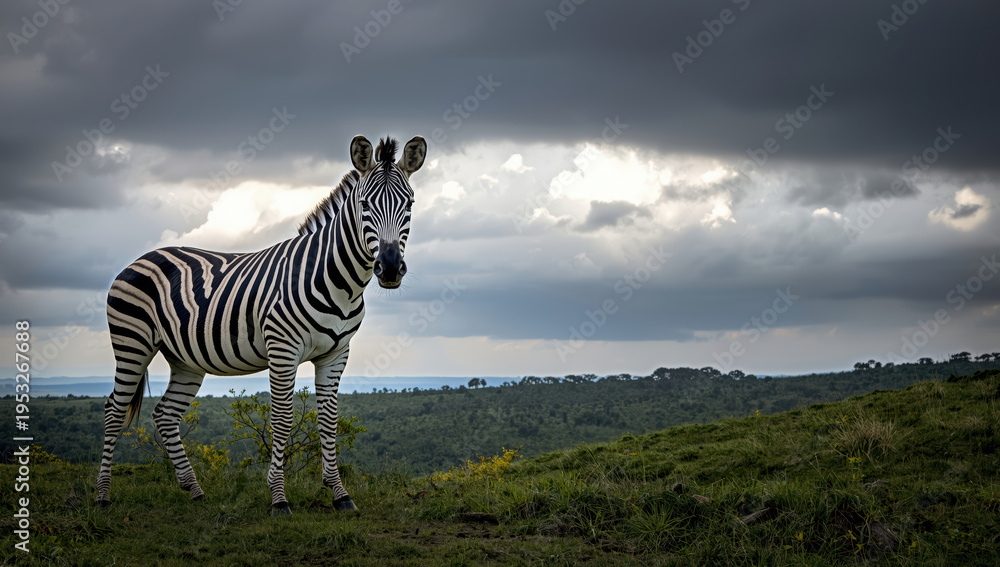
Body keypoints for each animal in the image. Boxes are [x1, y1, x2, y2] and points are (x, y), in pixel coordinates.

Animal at [96, 135, 426, 514]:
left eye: (409, 205)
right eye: (364, 205)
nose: (390, 267)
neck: (338, 281)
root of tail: (141, 258)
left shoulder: (336, 353)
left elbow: (329, 420)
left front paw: (340, 494)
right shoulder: (283, 349)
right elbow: (281, 420)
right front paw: (278, 498)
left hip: (184, 358)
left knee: (165, 415)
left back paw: (195, 490)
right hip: (132, 343)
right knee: (114, 409)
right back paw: (102, 496)